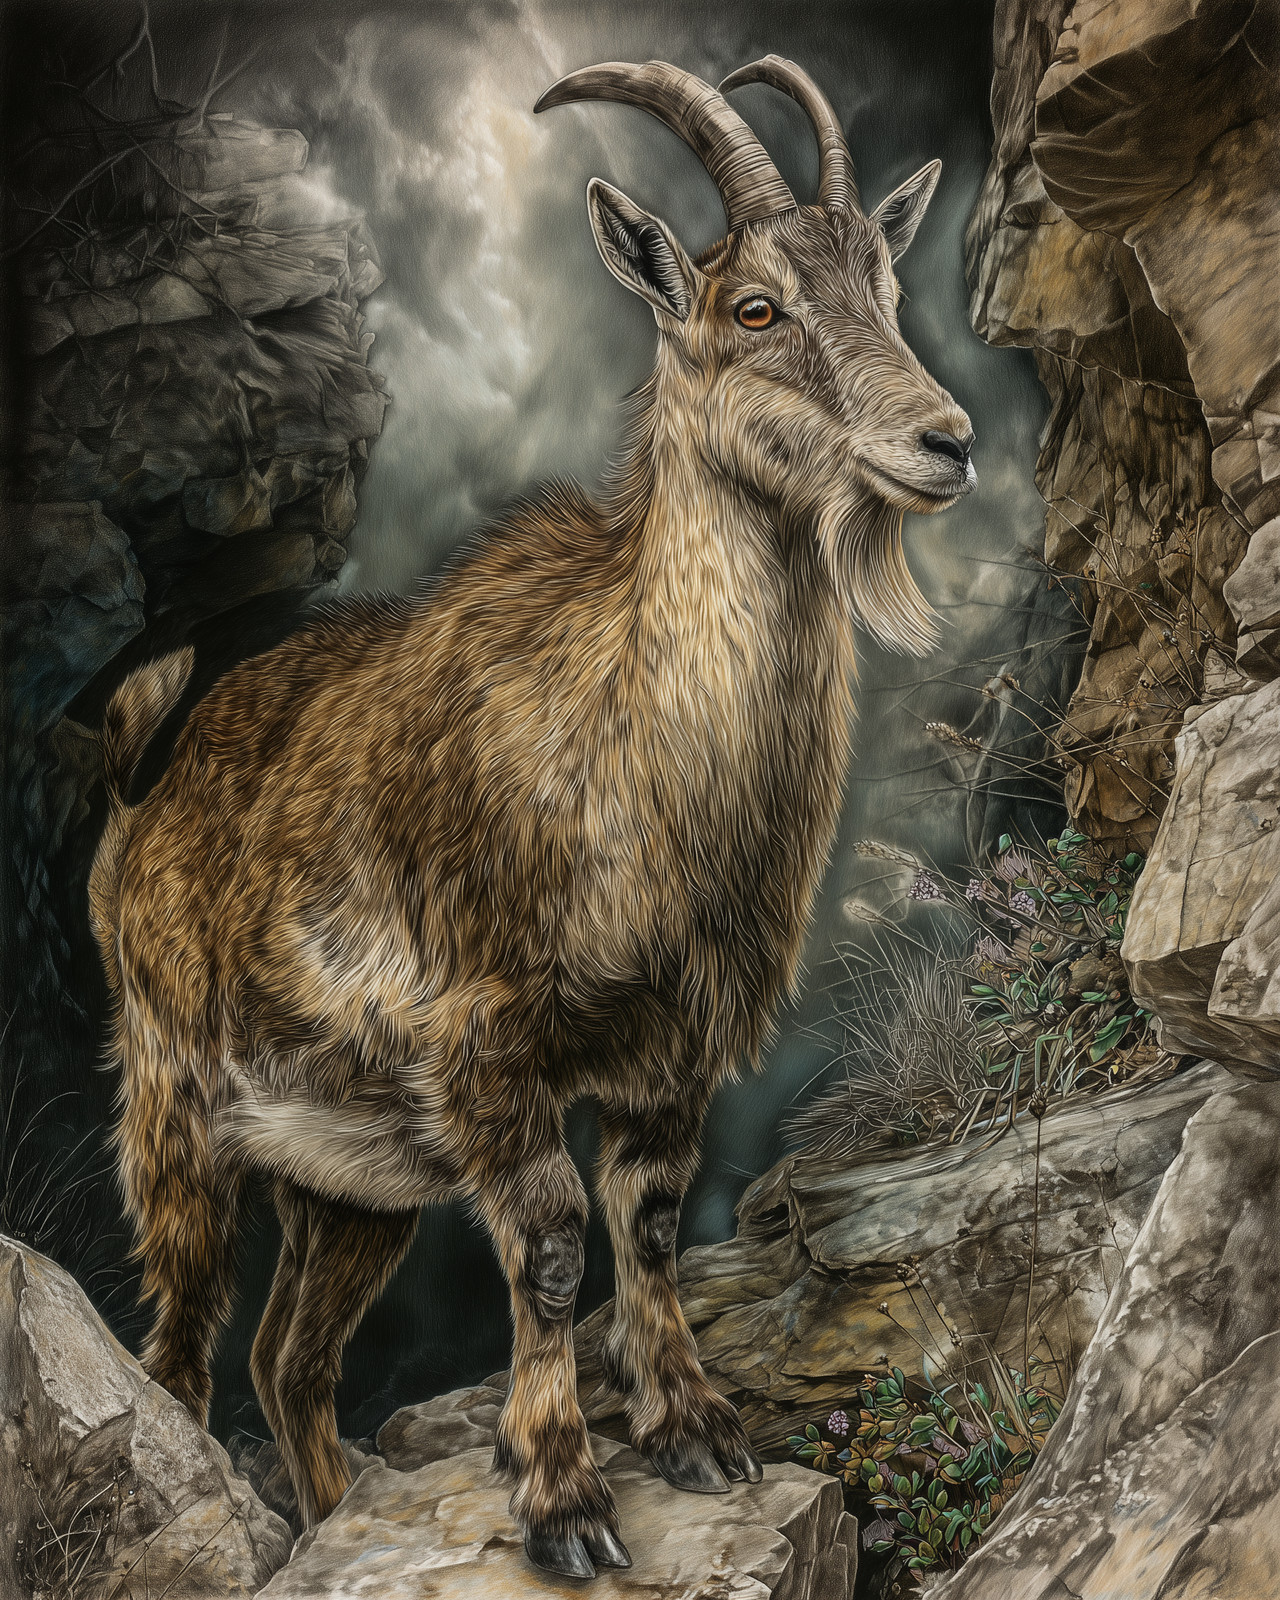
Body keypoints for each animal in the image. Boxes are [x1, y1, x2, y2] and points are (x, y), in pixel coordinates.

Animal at [88, 56, 974, 1579]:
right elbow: (556, 1251)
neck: (633, 752)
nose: (948, 442)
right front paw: (564, 1503)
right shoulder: (492, 1049)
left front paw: (697, 1435)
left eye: (885, 279)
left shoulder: (671, 1053)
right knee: (184, 1349)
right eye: (755, 308)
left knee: (290, 1358)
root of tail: (135, 799)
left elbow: (654, 1226)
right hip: (176, 1101)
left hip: (352, 1177)